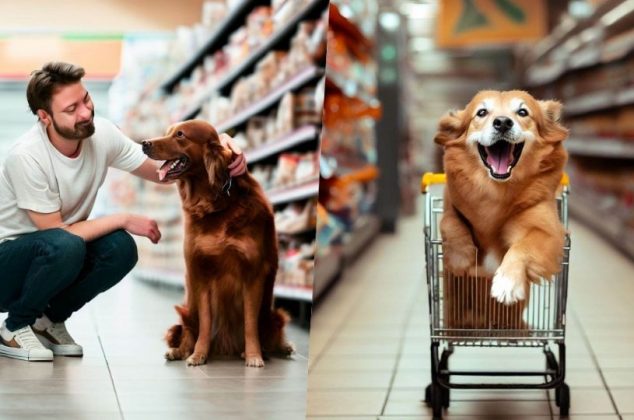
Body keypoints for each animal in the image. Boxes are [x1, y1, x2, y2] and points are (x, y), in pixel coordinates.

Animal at [142, 119, 292, 368]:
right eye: (167, 132)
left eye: (180, 134)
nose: (144, 143)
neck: (214, 202)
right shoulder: (200, 270)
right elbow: (204, 322)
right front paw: (198, 354)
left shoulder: (253, 273)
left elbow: (250, 323)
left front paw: (253, 355)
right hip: (186, 309)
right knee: (186, 330)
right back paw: (178, 351)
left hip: (274, 316)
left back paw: (276, 348)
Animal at [432, 90, 564, 330]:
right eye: (481, 112)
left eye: (523, 112)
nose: (502, 122)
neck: (496, 191)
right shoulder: (449, 202)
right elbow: (449, 221)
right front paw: (460, 257)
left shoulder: (549, 232)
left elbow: (522, 247)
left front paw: (507, 282)